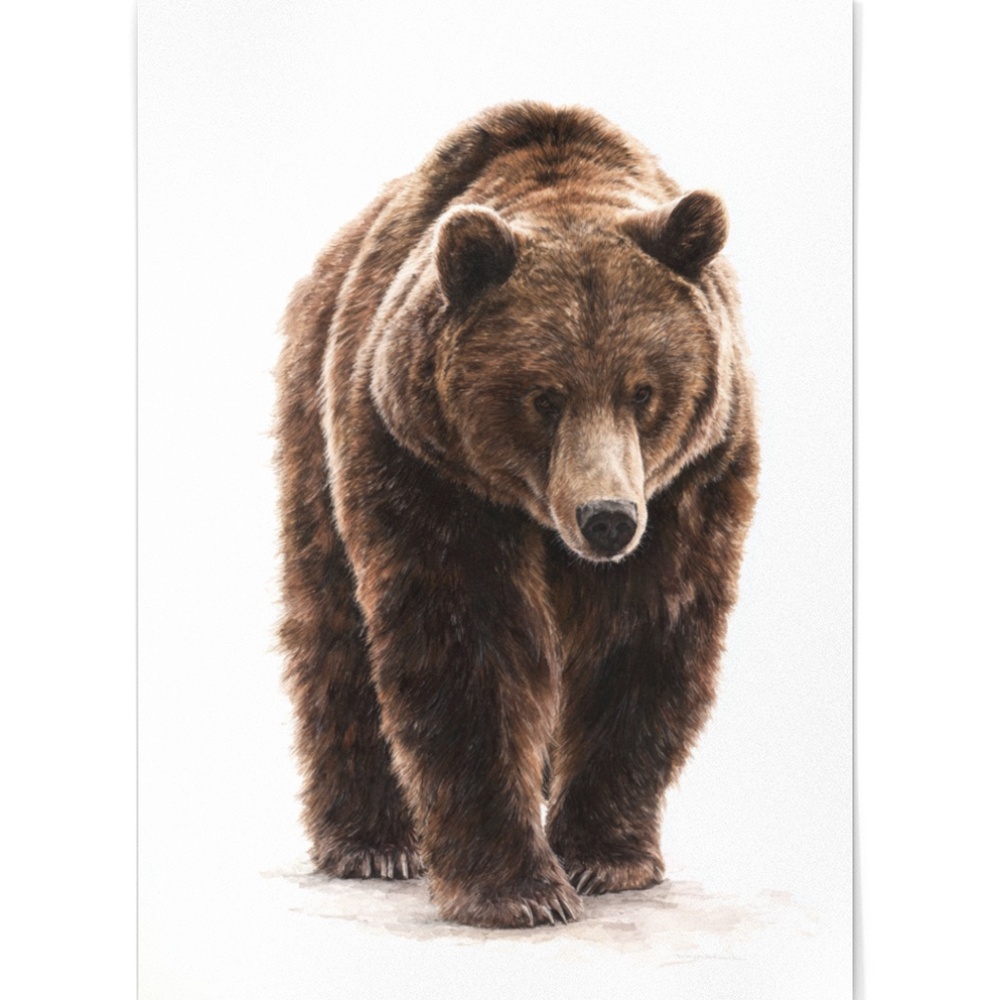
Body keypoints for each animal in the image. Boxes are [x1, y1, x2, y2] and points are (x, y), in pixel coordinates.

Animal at [275, 101, 758, 929]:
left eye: (643, 391)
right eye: (544, 395)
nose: (607, 518)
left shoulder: (691, 486)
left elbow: (644, 639)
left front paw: (603, 856)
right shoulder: (427, 467)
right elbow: (466, 647)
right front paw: (517, 889)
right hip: (315, 413)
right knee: (333, 627)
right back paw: (371, 843)